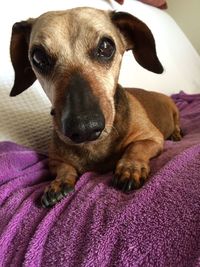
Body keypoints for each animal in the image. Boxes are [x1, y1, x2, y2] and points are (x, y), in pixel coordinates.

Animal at [9, 6, 181, 207]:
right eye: (38, 56)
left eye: (106, 47)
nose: (84, 128)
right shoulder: (54, 160)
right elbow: (64, 168)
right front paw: (59, 183)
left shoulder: (152, 138)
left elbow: (136, 147)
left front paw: (130, 167)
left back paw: (176, 134)